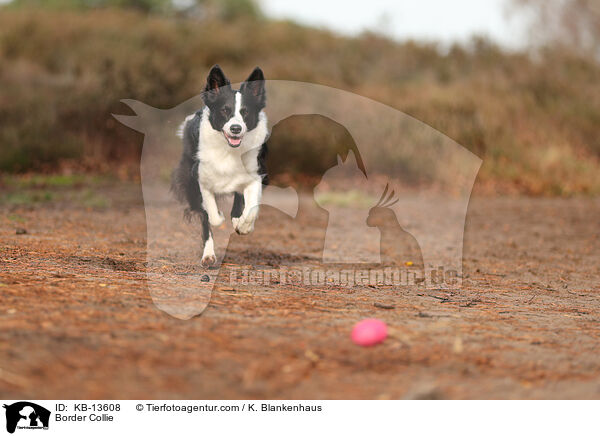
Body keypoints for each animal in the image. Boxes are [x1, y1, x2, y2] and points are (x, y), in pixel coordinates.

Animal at [172, 66, 268, 268]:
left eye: (245, 112)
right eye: (225, 110)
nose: (235, 129)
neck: (229, 150)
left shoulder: (256, 175)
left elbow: (251, 208)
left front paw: (244, 226)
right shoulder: (199, 178)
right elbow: (211, 215)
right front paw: (220, 216)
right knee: (205, 219)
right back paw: (208, 255)